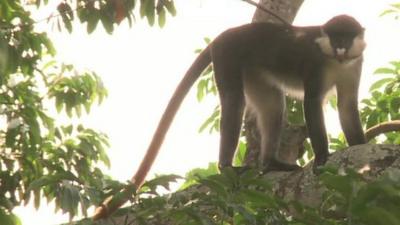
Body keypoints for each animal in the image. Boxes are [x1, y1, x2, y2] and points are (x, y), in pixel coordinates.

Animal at [92, 14, 368, 220]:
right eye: (336, 37)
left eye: (347, 37)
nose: (341, 48)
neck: (335, 61)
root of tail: (225, 35)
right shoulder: (315, 64)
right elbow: (311, 103)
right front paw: (321, 158)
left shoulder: (355, 65)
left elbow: (346, 105)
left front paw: (360, 146)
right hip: (228, 56)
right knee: (235, 101)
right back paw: (226, 166)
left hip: (255, 71)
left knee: (273, 106)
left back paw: (270, 163)